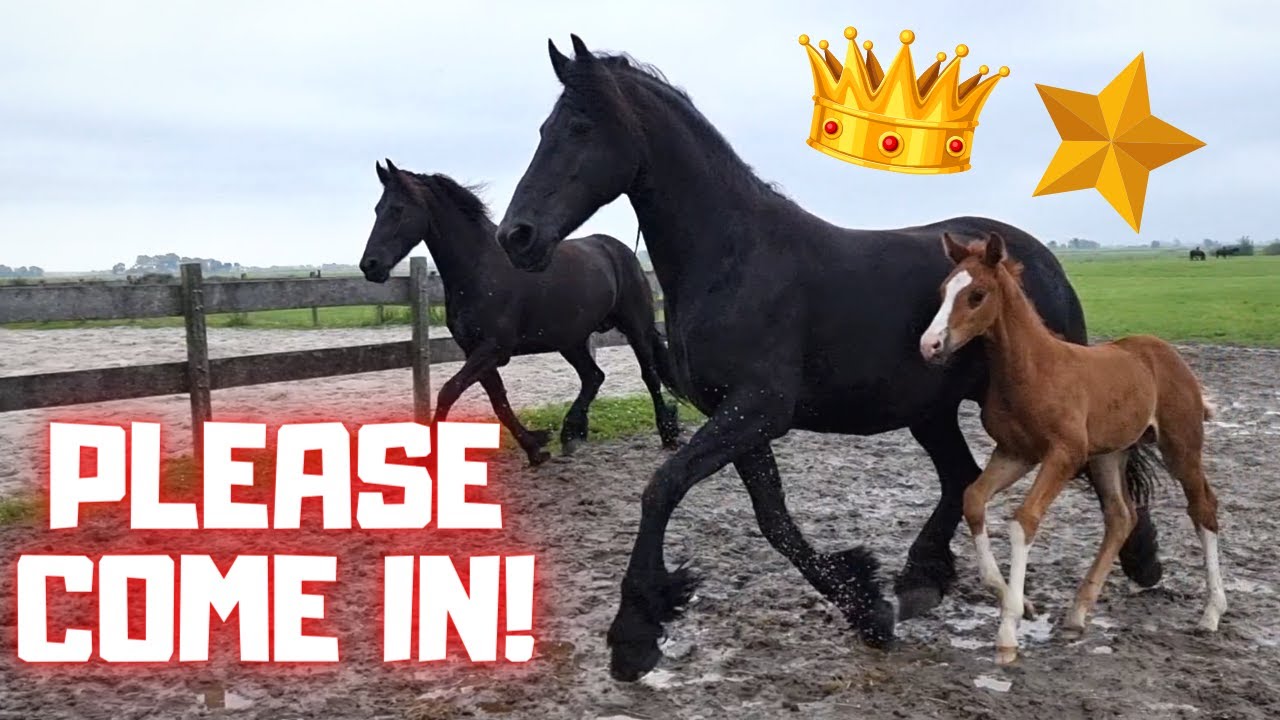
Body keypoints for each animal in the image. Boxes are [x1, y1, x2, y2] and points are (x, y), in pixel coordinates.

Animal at [359, 159, 681, 465]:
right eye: (376, 209)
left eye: (397, 209)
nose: (369, 265)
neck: (479, 268)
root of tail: (619, 250)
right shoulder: (475, 350)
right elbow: (498, 401)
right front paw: (535, 447)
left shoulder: (493, 347)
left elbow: (449, 391)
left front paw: (428, 456)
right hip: (571, 340)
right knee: (593, 377)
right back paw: (570, 434)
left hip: (635, 328)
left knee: (648, 376)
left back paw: (667, 435)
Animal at [491, 35, 1165, 680]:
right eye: (544, 130)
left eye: (581, 127)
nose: (515, 237)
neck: (734, 256)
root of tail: (1038, 259)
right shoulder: (740, 417)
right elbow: (775, 521)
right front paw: (866, 609)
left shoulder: (758, 409)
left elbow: (663, 489)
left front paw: (634, 636)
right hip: (931, 411)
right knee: (961, 478)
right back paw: (922, 579)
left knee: (1099, 467)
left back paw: (1143, 559)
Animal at [921, 231, 1226, 665]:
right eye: (943, 291)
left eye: (977, 294)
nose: (930, 345)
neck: (1033, 370)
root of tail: (1165, 351)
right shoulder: (1016, 452)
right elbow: (973, 499)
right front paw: (1013, 599)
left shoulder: (1064, 454)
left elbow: (1024, 520)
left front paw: (1008, 630)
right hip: (1109, 455)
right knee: (1120, 516)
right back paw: (1078, 613)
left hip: (1179, 445)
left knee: (1203, 508)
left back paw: (1211, 613)